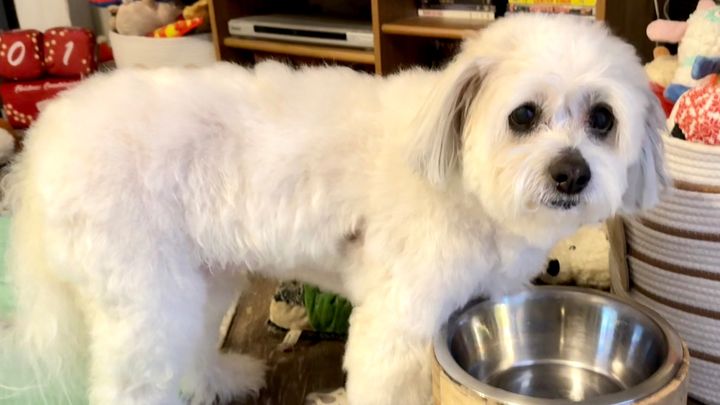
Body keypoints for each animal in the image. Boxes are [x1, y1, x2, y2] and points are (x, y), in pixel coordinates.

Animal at [0, 14, 666, 405]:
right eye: (524, 115)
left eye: (602, 119)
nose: (572, 173)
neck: (464, 186)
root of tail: (44, 142)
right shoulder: (399, 325)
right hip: (144, 295)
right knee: (133, 381)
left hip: (199, 279)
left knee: (191, 345)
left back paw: (220, 382)